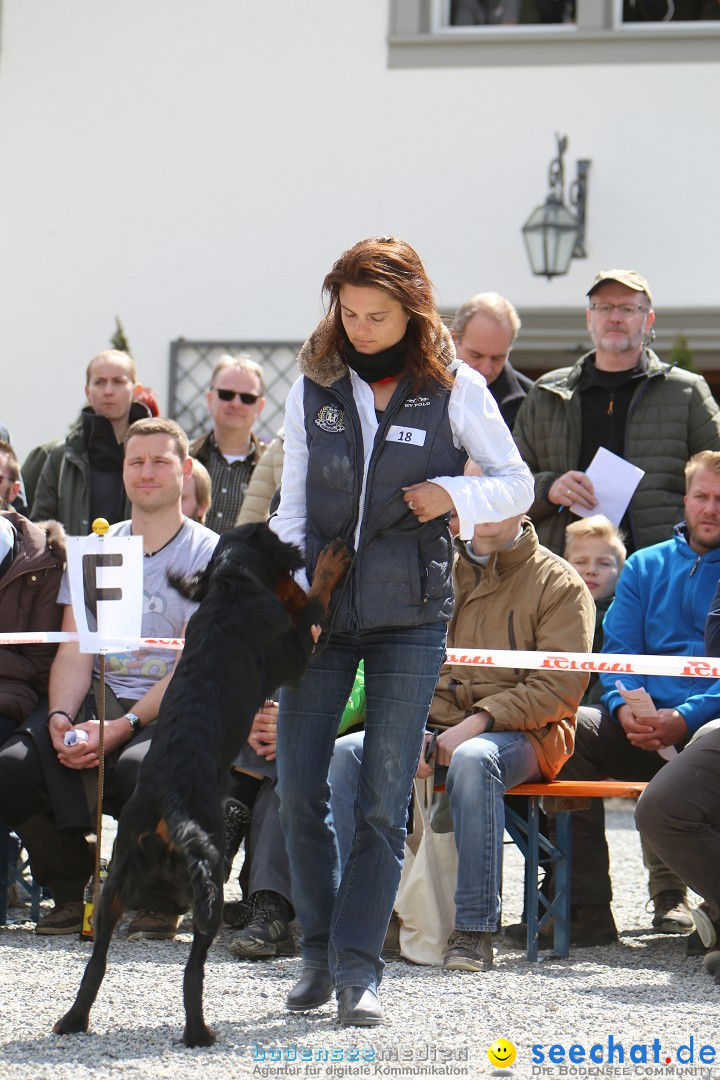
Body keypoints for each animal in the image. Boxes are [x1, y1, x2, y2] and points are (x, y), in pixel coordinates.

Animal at [54, 522, 351, 1045]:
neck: (230, 589)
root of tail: (168, 801)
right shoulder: (296, 652)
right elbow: (316, 601)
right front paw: (331, 564)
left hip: (115, 887)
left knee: (96, 962)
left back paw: (74, 1020)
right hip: (207, 881)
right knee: (193, 970)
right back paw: (199, 1031)